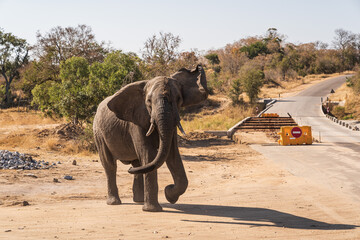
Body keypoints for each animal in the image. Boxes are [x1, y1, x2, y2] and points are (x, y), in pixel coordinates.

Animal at [93, 64, 208, 212]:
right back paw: (114, 202)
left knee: (138, 165)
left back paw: (139, 200)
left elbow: (172, 155)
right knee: (110, 165)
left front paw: (169, 195)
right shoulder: (135, 122)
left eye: (178, 99)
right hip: (99, 133)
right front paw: (153, 209)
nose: (168, 187)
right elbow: (149, 153)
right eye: (148, 101)